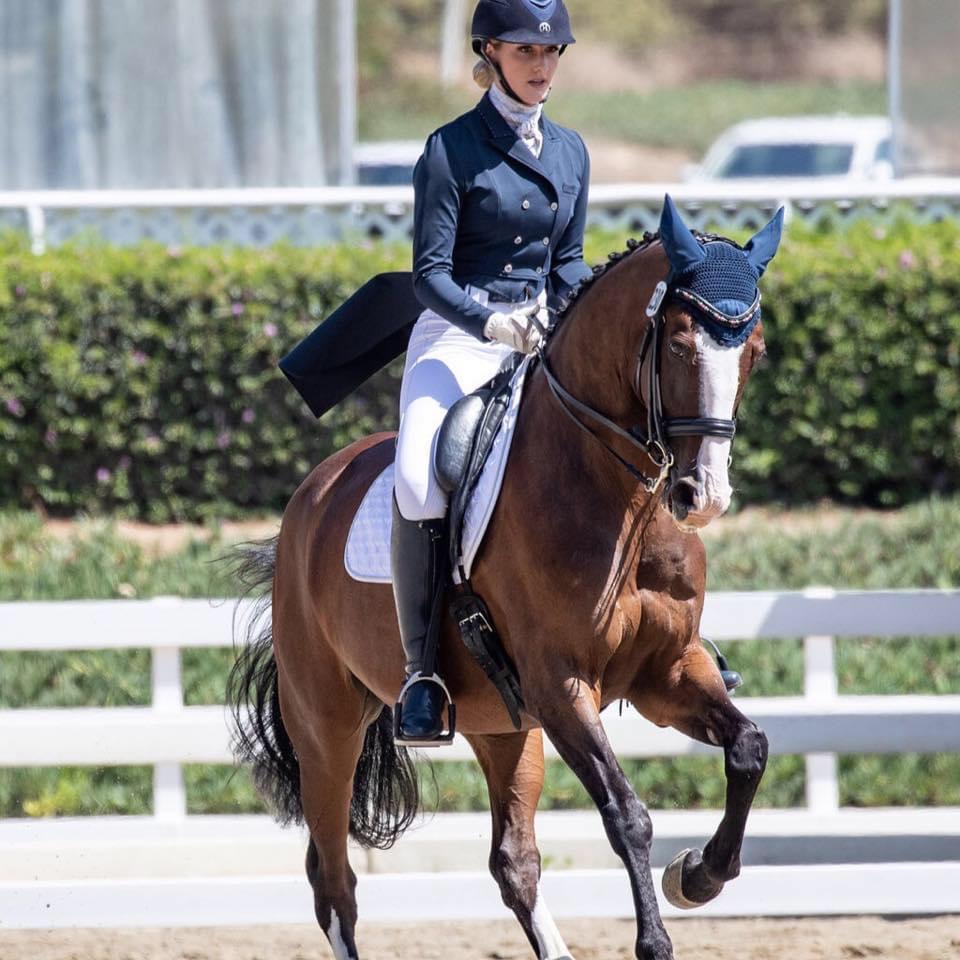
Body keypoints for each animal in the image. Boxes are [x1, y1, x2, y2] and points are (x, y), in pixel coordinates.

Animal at [228, 196, 783, 960]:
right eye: (676, 344)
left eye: (753, 350)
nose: (704, 495)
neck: (616, 498)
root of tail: (313, 495)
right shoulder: (562, 687)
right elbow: (628, 815)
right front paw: (656, 937)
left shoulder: (666, 672)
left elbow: (749, 749)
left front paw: (698, 875)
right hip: (327, 727)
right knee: (333, 878)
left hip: (502, 725)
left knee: (513, 862)